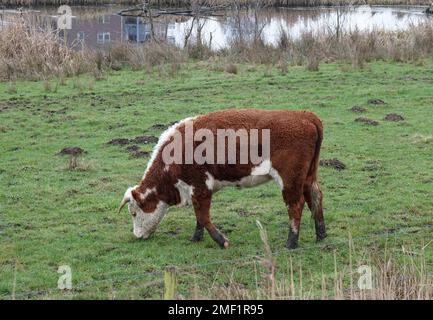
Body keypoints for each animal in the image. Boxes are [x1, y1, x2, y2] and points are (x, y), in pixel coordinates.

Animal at [118, 109, 324, 249]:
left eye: (134, 213)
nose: (137, 235)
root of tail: (305, 116)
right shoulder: (197, 190)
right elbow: (199, 217)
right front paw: (196, 237)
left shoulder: (200, 186)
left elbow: (202, 215)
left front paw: (221, 240)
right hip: (308, 177)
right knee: (315, 197)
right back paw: (321, 234)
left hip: (290, 179)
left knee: (295, 205)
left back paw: (291, 242)